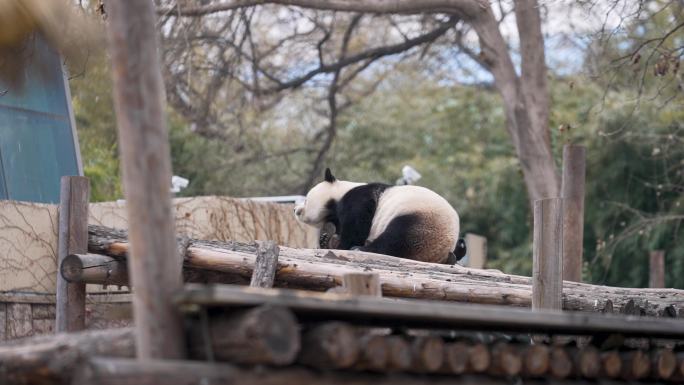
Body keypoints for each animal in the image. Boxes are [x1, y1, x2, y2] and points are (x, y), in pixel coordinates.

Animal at [294, 168, 464, 264]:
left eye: (307, 199)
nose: (296, 210)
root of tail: (440, 252)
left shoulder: (358, 199)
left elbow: (356, 227)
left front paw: (342, 245)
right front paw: (326, 240)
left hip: (422, 220)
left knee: (397, 238)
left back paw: (362, 249)